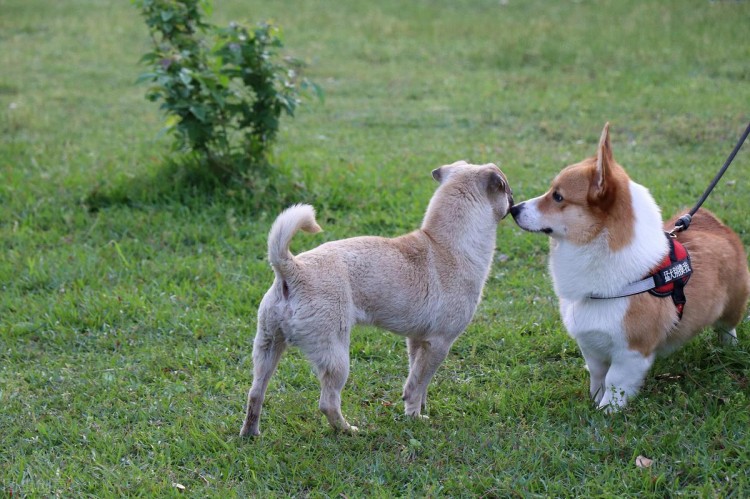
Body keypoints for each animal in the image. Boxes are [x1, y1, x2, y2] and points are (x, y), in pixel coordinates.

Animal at [244, 162, 516, 436]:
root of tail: (292, 269)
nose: (514, 204)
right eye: (506, 190)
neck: (444, 245)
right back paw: (349, 430)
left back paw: (250, 433)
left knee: (255, 393)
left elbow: (418, 378)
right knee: (328, 403)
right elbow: (417, 384)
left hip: (268, 348)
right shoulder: (439, 344)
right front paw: (415, 417)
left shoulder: (417, 342)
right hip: (335, 356)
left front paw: (418, 408)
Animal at [512, 123, 750, 412]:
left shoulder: (631, 352)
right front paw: (594, 400)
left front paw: (605, 412)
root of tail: (715, 222)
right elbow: (597, 375)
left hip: (734, 303)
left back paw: (729, 349)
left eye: (558, 197)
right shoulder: (591, 345)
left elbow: (615, 382)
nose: (513, 208)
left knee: (728, 327)